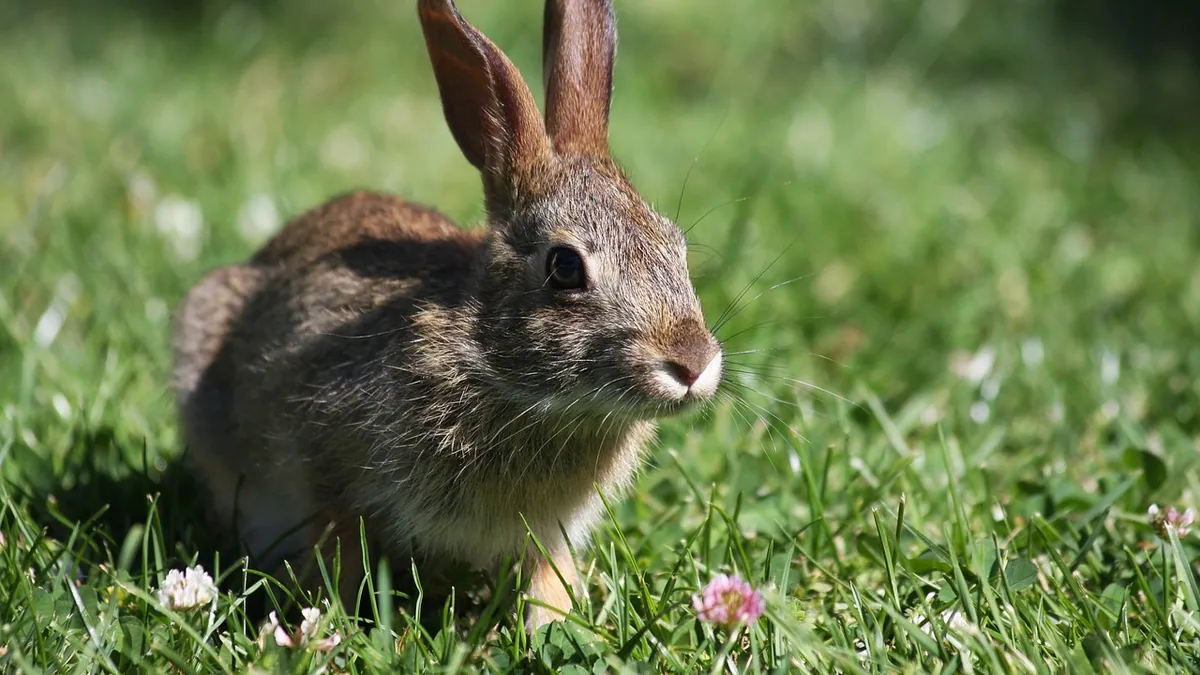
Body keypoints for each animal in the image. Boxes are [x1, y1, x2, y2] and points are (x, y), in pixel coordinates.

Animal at [171, 0, 722, 631]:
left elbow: (547, 578)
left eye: (676, 246)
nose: (693, 365)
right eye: (564, 267)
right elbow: (339, 552)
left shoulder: (549, 534)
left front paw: (552, 625)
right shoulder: (327, 474)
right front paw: (332, 622)